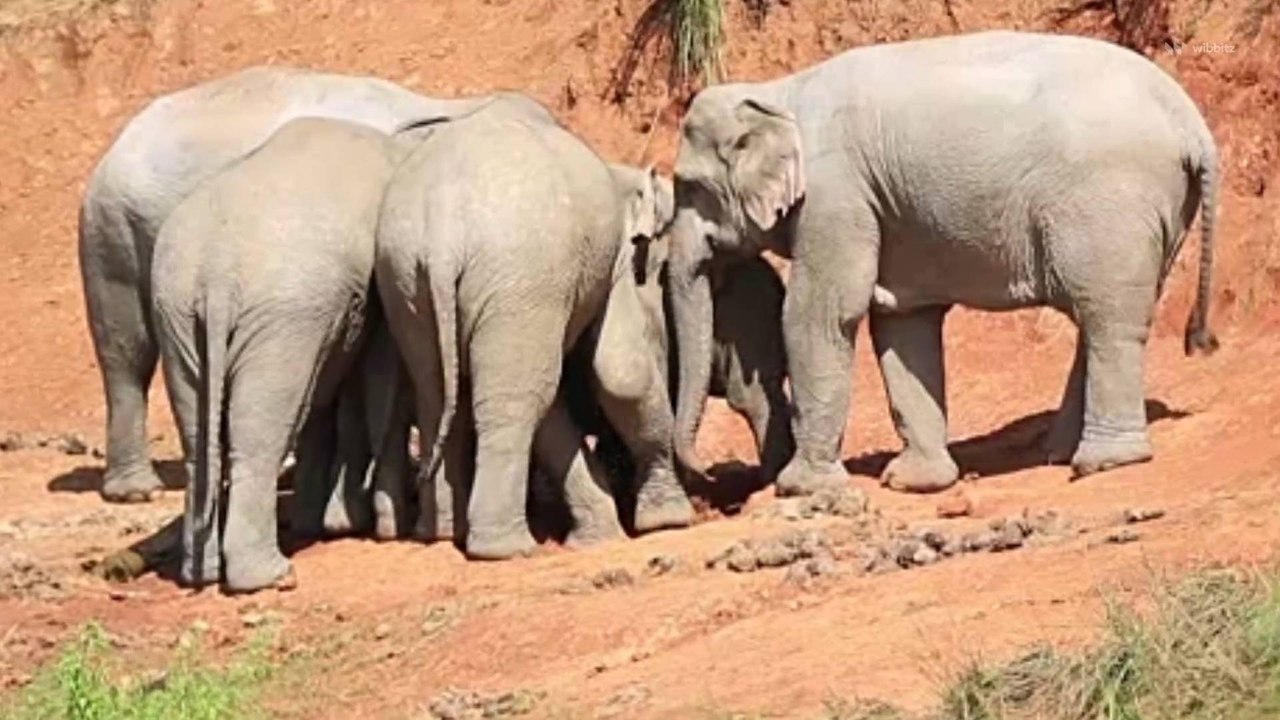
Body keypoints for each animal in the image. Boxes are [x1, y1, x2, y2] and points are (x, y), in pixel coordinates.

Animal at [150, 118, 406, 592]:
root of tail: (218, 273)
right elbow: (375, 381)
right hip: (280, 313)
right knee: (260, 433)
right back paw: (271, 576)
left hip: (178, 312)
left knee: (199, 436)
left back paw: (202, 574)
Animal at [375, 97, 690, 560]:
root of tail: (443, 234)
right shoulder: (605, 261)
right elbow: (620, 373)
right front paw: (669, 521)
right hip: (518, 273)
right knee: (514, 404)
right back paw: (505, 547)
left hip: (405, 281)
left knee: (440, 395)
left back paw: (442, 534)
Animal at [664, 30, 1219, 497]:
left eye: (689, 187)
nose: (711, 474)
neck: (781, 93)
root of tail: (1192, 123)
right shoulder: (884, 210)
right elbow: (902, 323)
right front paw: (915, 483)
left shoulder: (836, 196)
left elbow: (820, 316)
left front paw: (800, 487)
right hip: (1157, 212)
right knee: (1099, 317)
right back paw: (1060, 454)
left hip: (1110, 204)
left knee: (1109, 319)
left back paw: (1103, 462)